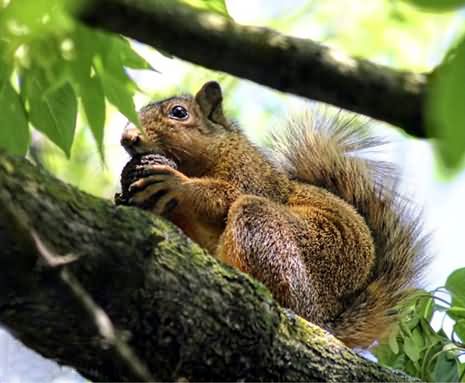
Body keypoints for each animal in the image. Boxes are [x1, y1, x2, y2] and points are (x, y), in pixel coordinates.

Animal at [118, 82, 428, 352]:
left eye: (179, 112)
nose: (127, 137)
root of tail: (323, 317)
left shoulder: (251, 177)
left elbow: (226, 196)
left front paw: (177, 185)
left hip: (271, 229)